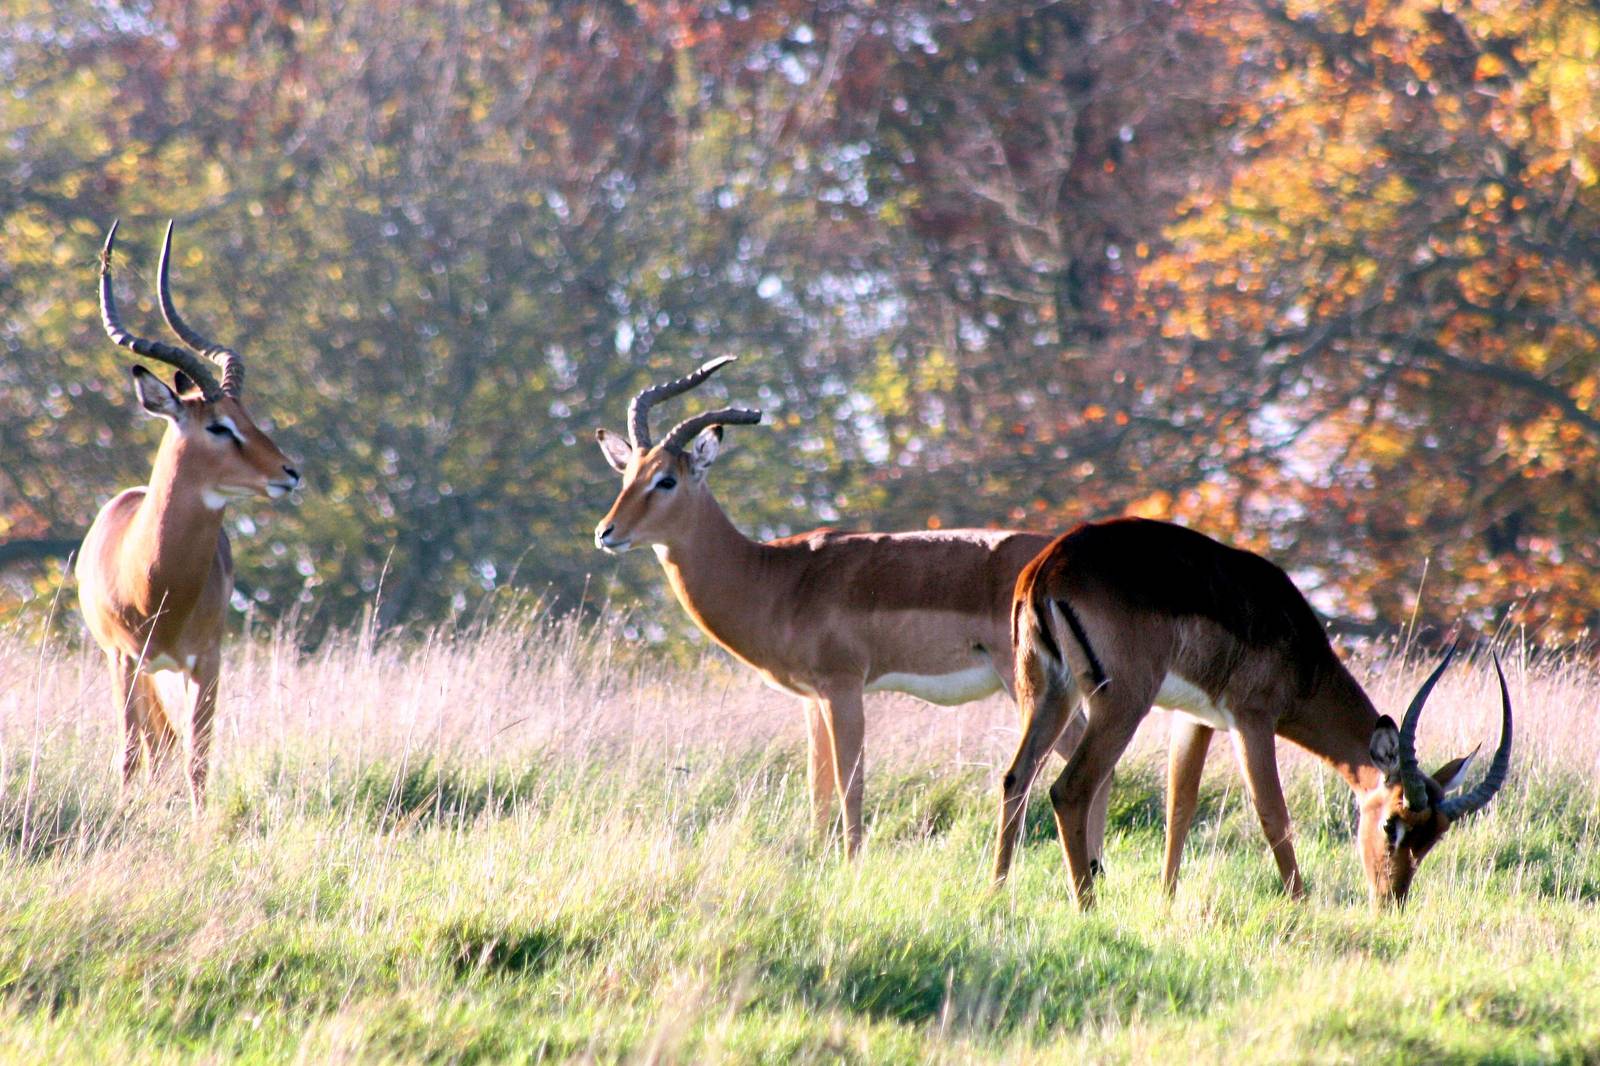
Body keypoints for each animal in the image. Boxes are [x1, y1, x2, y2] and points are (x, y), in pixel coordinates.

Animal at [76, 221, 301, 810]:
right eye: (218, 425)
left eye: (247, 414)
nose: (290, 472)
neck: (155, 584)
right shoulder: (123, 662)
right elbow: (130, 755)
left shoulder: (207, 661)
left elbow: (200, 761)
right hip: (140, 672)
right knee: (151, 746)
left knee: (173, 746)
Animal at [593, 358, 1115, 857]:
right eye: (628, 474)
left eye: (666, 480)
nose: (605, 532)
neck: (774, 577)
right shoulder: (811, 699)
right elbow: (818, 787)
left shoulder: (843, 688)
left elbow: (852, 783)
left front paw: (850, 861)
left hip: (1033, 684)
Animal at [994, 517, 1513, 909]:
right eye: (1391, 824)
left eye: (1434, 837)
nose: (1391, 901)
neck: (1299, 649)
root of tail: (1047, 568)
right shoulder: (1252, 719)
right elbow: (1273, 812)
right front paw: (1301, 903)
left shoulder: (1195, 719)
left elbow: (1179, 807)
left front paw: (1167, 902)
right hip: (1118, 704)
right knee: (1069, 789)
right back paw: (1087, 906)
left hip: (1047, 694)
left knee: (1016, 777)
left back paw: (997, 892)